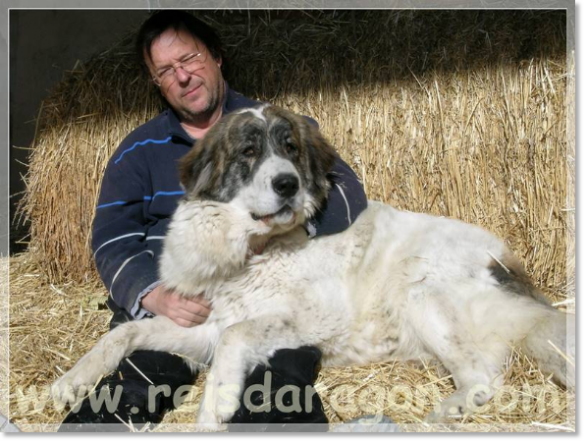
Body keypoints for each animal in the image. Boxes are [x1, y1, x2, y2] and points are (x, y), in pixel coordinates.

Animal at [52, 104, 572, 426]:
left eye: (291, 149)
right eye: (249, 152)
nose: (286, 184)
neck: (251, 251)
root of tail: (518, 279)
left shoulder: (313, 319)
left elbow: (237, 335)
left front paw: (214, 408)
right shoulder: (202, 326)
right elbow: (123, 333)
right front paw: (71, 381)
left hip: (418, 285)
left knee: (485, 376)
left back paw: (448, 411)